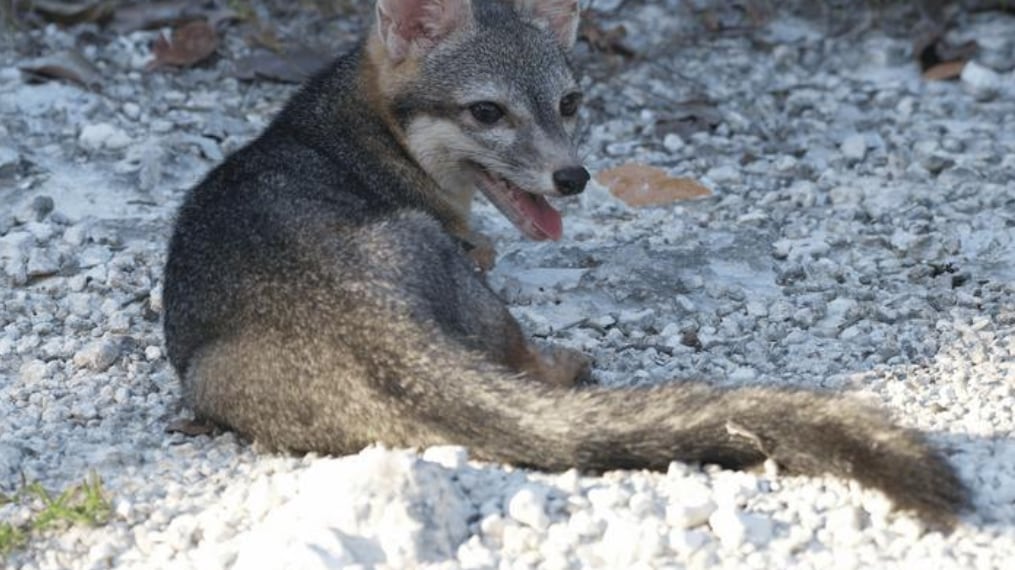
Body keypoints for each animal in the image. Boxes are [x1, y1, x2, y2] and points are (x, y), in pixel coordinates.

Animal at [162, 0, 968, 529]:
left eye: (570, 102)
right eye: (486, 113)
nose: (573, 178)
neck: (352, 130)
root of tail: (368, 322)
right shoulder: (469, 249)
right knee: (524, 362)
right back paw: (565, 363)